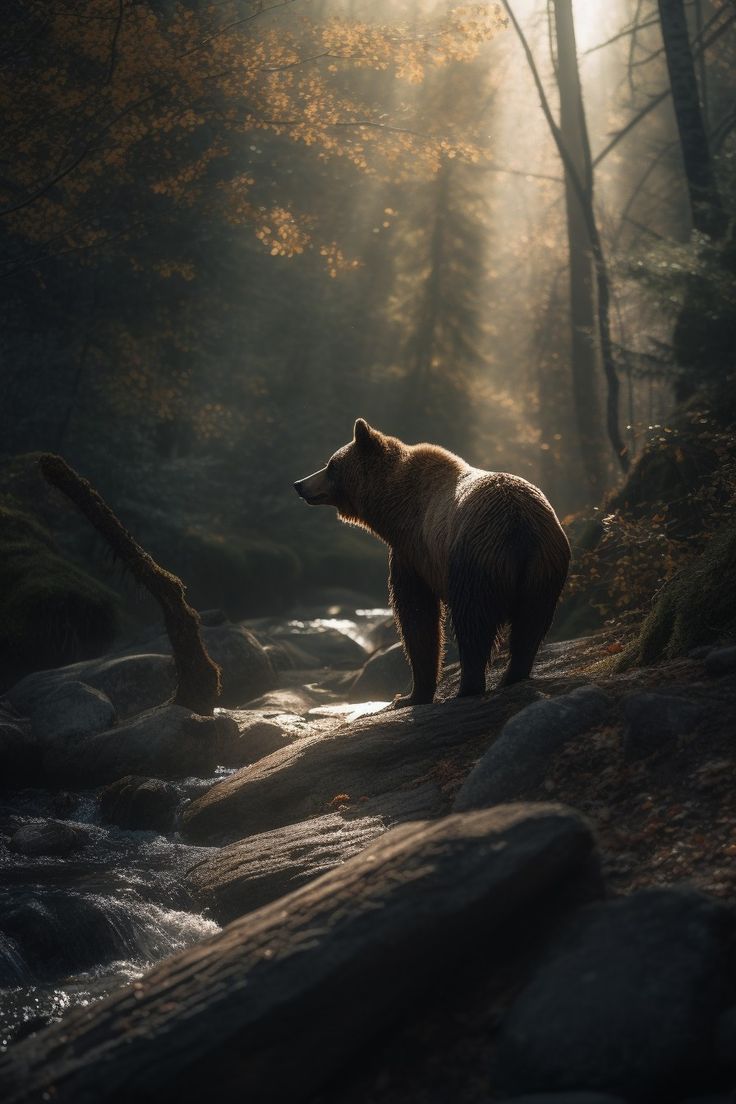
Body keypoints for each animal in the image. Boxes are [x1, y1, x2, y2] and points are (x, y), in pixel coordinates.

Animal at [294, 419, 570, 706]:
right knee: (531, 622)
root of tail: (520, 528)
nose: (299, 484)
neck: (393, 508)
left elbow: (416, 614)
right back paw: (512, 676)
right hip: (544, 568)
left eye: (331, 465)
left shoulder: (413, 551)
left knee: (473, 622)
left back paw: (467, 687)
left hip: (476, 557)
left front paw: (409, 695)